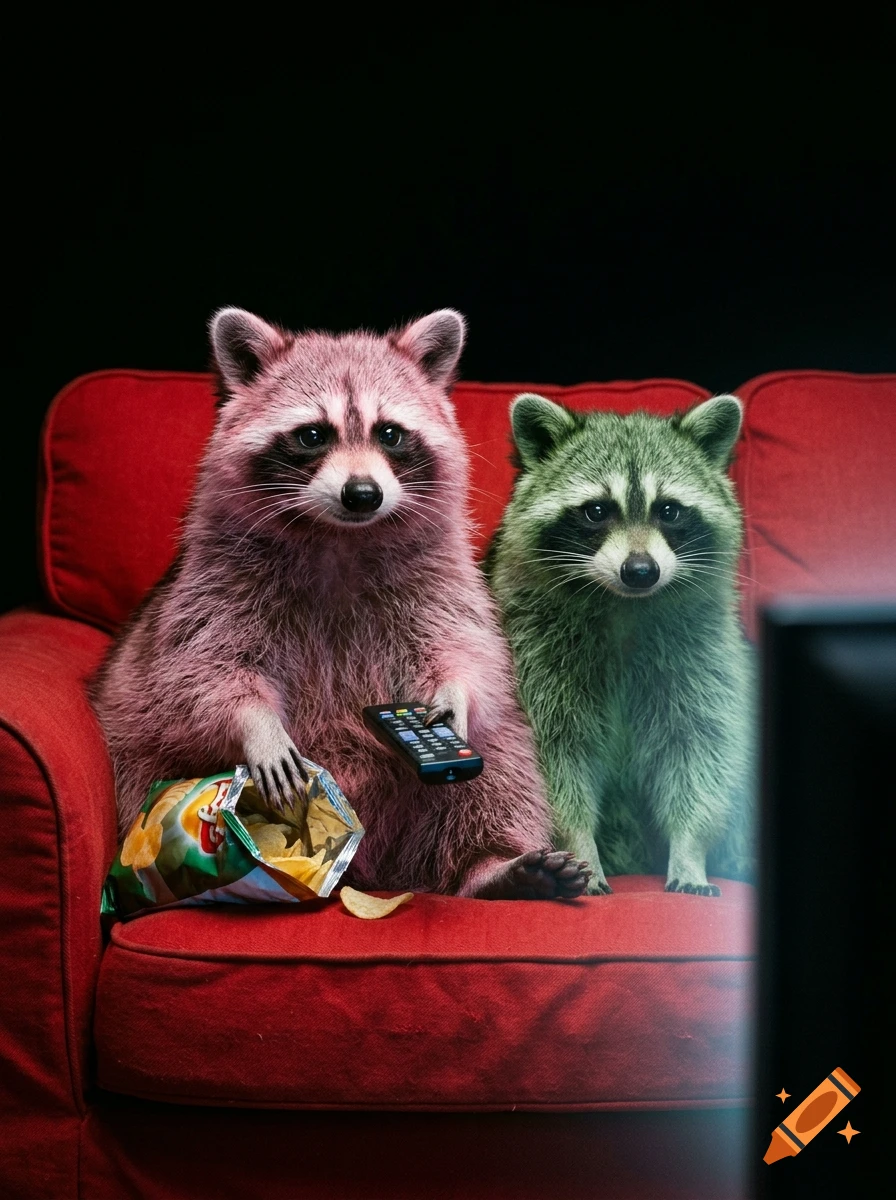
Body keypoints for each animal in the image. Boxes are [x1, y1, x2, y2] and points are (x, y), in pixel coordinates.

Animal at [90, 309, 591, 900]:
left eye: (389, 433)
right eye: (312, 435)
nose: (363, 494)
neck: (342, 537)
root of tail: (372, 866)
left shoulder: (444, 580)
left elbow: (468, 648)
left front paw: (454, 692)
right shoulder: (211, 586)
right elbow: (201, 670)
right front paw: (254, 723)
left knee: (503, 762)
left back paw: (491, 865)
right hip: (129, 724)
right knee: (141, 762)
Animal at [484, 393, 755, 896]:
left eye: (668, 510)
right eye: (596, 511)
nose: (641, 571)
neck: (624, 604)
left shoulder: (704, 655)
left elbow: (701, 751)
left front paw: (690, 849)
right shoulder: (534, 656)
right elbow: (556, 760)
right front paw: (579, 846)